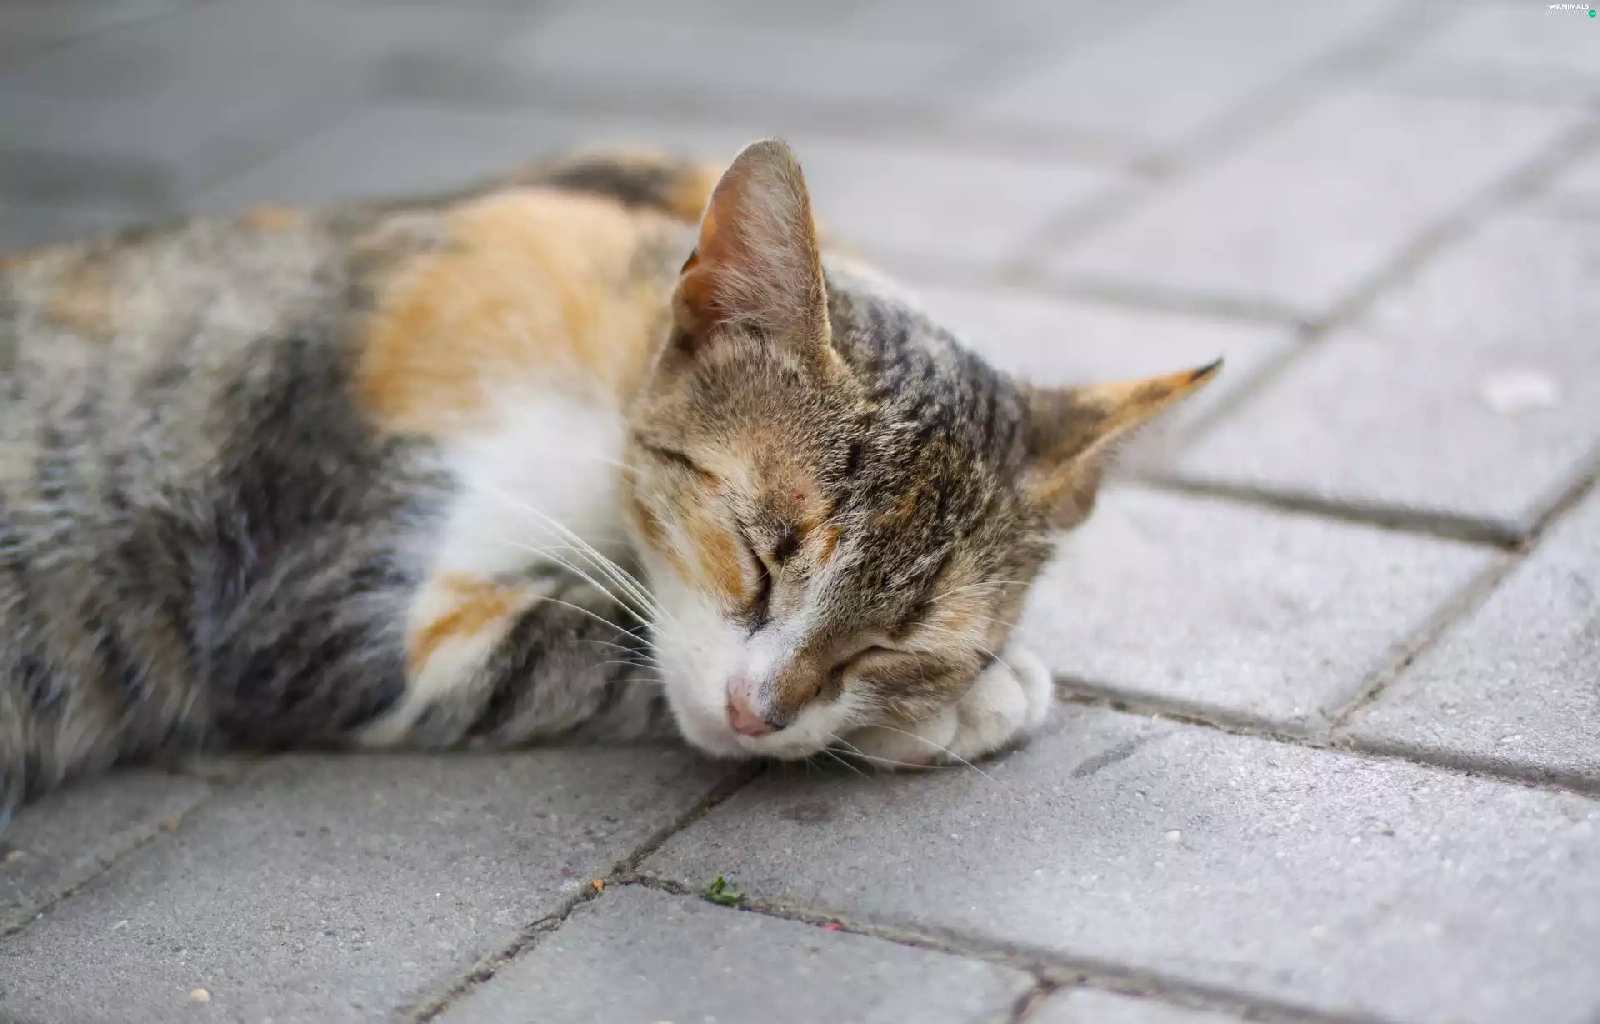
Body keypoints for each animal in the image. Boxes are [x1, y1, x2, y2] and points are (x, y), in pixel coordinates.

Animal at [0, 139, 1219, 823]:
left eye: (897, 643)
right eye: (756, 550)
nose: (761, 710)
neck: (608, 364)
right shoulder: (317, 606)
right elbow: (589, 633)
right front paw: (974, 703)